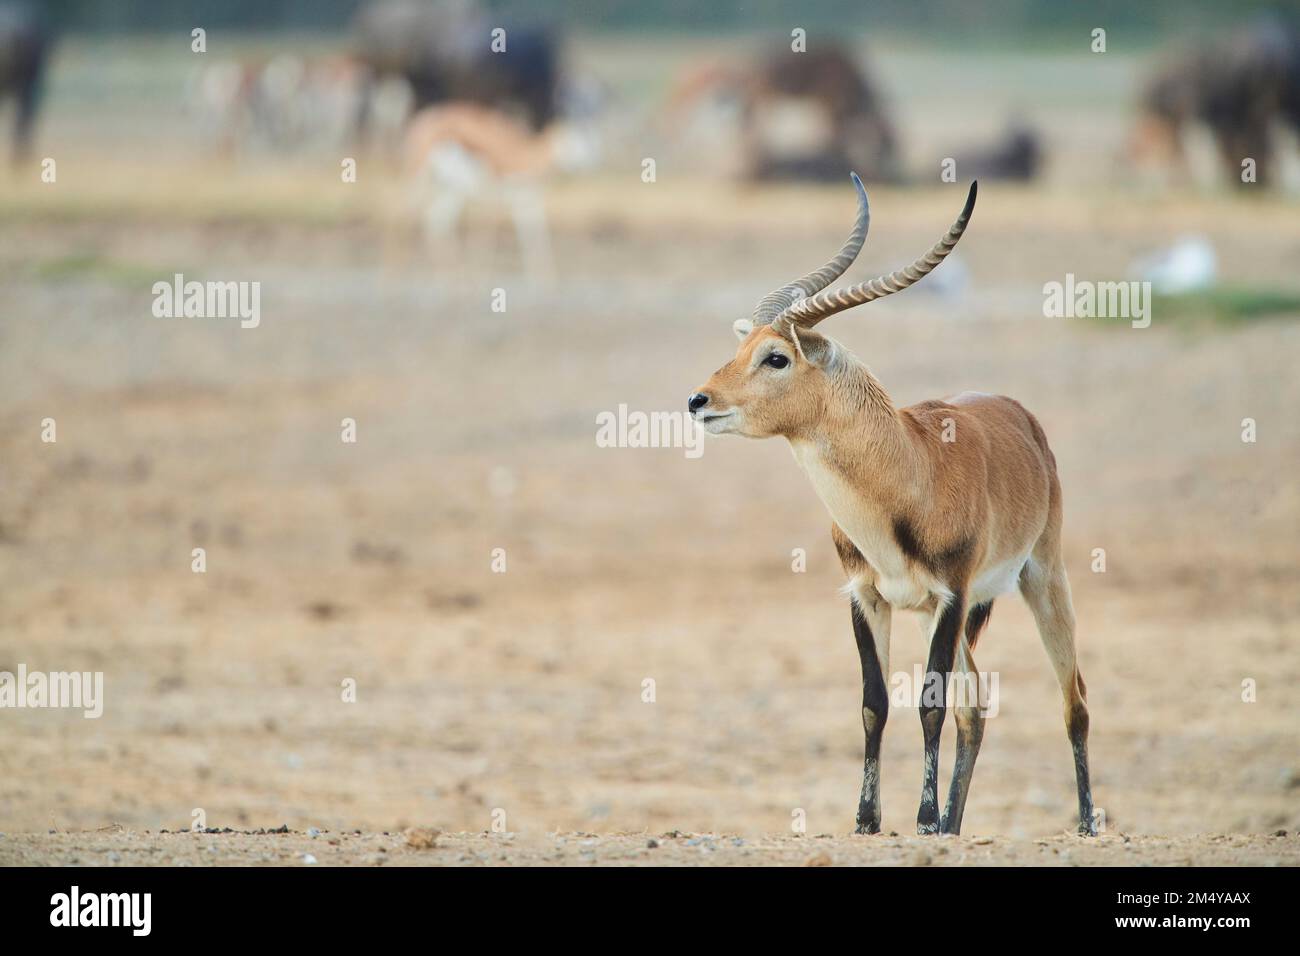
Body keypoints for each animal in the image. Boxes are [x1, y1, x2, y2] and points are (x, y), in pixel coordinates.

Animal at [691, 175, 1097, 832]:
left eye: (776, 356)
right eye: (745, 345)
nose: (698, 401)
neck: (907, 475)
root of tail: (1020, 415)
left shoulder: (950, 596)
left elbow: (928, 704)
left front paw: (924, 818)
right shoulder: (867, 596)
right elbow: (874, 703)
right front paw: (868, 820)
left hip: (1041, 579)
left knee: (1074, 698)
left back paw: (1085, 822)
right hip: (952, 614)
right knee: (976, 709)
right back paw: (957, 826)